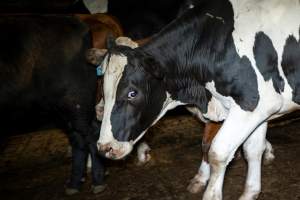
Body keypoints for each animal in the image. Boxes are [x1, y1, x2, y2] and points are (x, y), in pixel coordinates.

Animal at [0, 15, 105, 195]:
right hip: (62, 108)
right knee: (78, 139)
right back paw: (74, 184)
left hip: (75, 102)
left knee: (90, 135)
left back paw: (97, 182)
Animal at [88, 0, 300, 200]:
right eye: (103, 88)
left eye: (132, 93)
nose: (105, 148)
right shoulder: (262, 108)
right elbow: (252, 150)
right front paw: (250, 192)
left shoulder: (252, 104)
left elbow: (217, 152)